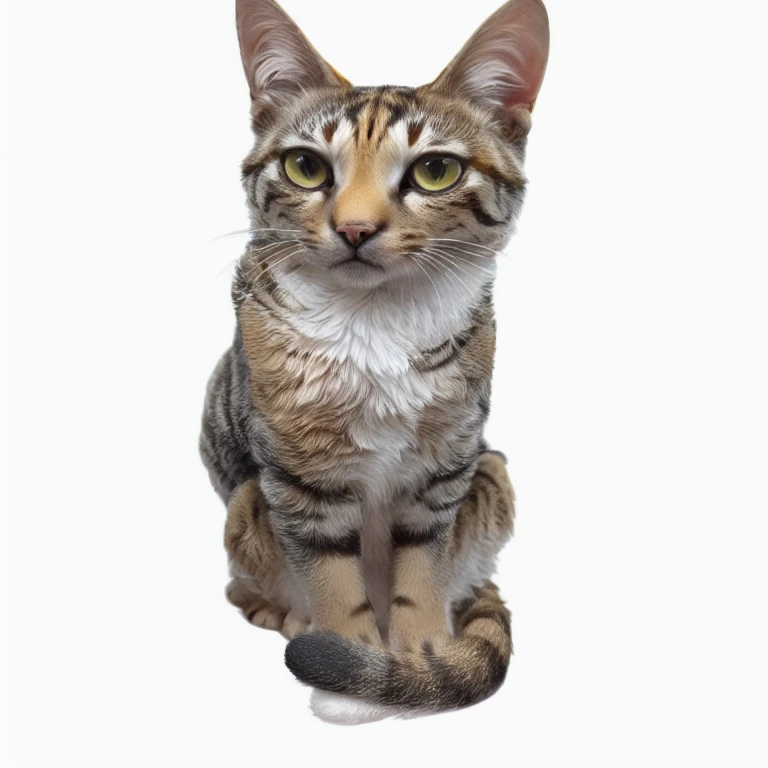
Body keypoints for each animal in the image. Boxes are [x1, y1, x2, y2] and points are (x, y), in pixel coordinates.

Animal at [198, 0, 544, 720]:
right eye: (305, 166)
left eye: (435, 171)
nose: (355, 229)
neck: (372, 322)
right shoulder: (300, 481)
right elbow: (332, 578)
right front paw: (348, 671)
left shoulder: (445, 470)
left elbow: (421, 570)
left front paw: (416, 659)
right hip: (244, 505)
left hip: (493, 474)